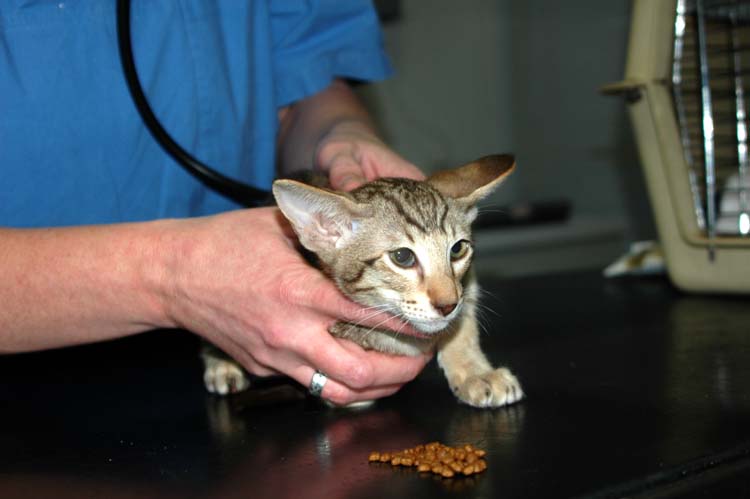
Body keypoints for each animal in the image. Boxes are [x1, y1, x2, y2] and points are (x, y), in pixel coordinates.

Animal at [202, 154, 524, 408]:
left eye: (457, 249)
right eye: (402, 257)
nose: (447, 305)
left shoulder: (467, 285)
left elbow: (463, 324)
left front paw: (476, 371)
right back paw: (222, 363)